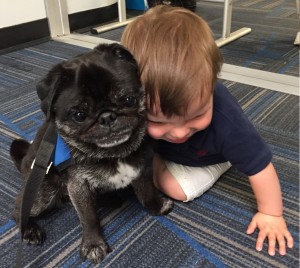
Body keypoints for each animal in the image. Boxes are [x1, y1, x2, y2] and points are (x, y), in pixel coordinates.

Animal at [10, 44, 173, 264]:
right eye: (79, 115)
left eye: (128, 100)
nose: (107, 116)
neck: (113, 154)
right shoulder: (78, 185)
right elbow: (88, 218)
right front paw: (93, 244)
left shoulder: (142, 169)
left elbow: (146, 192)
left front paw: (156, 206)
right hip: (43, 191)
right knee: (20, 207)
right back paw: (28, 230)